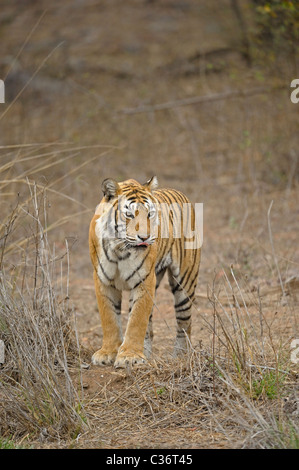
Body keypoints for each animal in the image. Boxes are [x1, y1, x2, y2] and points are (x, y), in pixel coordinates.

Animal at [88, 175, 202, 368]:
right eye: (129, 214)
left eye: (150, 214)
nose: (145, 237)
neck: (119, 249)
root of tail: (181, 193)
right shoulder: (103, 280)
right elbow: (109, 318)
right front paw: (107, 353)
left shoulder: (145, 280)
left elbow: (137, 320)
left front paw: (129, 356)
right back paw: (147, 354)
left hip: (185, 282)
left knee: (184, 323)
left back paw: (181, 356)